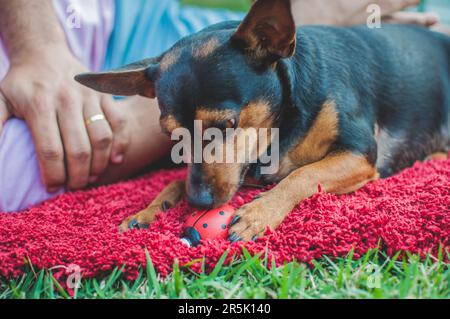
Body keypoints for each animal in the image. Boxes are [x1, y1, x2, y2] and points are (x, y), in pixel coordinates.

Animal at [74, 0, 450, 242]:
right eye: (172, 137)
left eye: (227, 125)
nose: (199, 203)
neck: (284, 127)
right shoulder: (241, 171)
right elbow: (176, 181)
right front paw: (150, 208)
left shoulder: (359, 154)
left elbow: (303, 174)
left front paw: (260, 212)